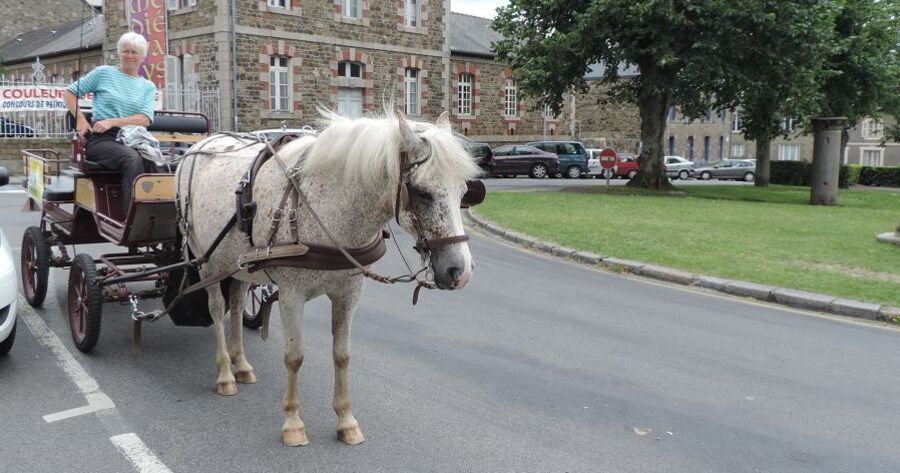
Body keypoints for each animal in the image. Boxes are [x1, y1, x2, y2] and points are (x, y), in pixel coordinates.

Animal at [178, 109, 486, 444]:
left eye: (463, 191)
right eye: (421, 192)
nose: (460, 271)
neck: (324, 206)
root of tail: (198, 146)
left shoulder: (348, 293)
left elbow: (342, 355)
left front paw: (346, 421)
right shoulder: (291, 294)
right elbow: (294, 356)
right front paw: (293, 423)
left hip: (237, 264)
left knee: (235, 303)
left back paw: (242, 365)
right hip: (206, 261)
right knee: (217, 309)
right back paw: (225, 374)